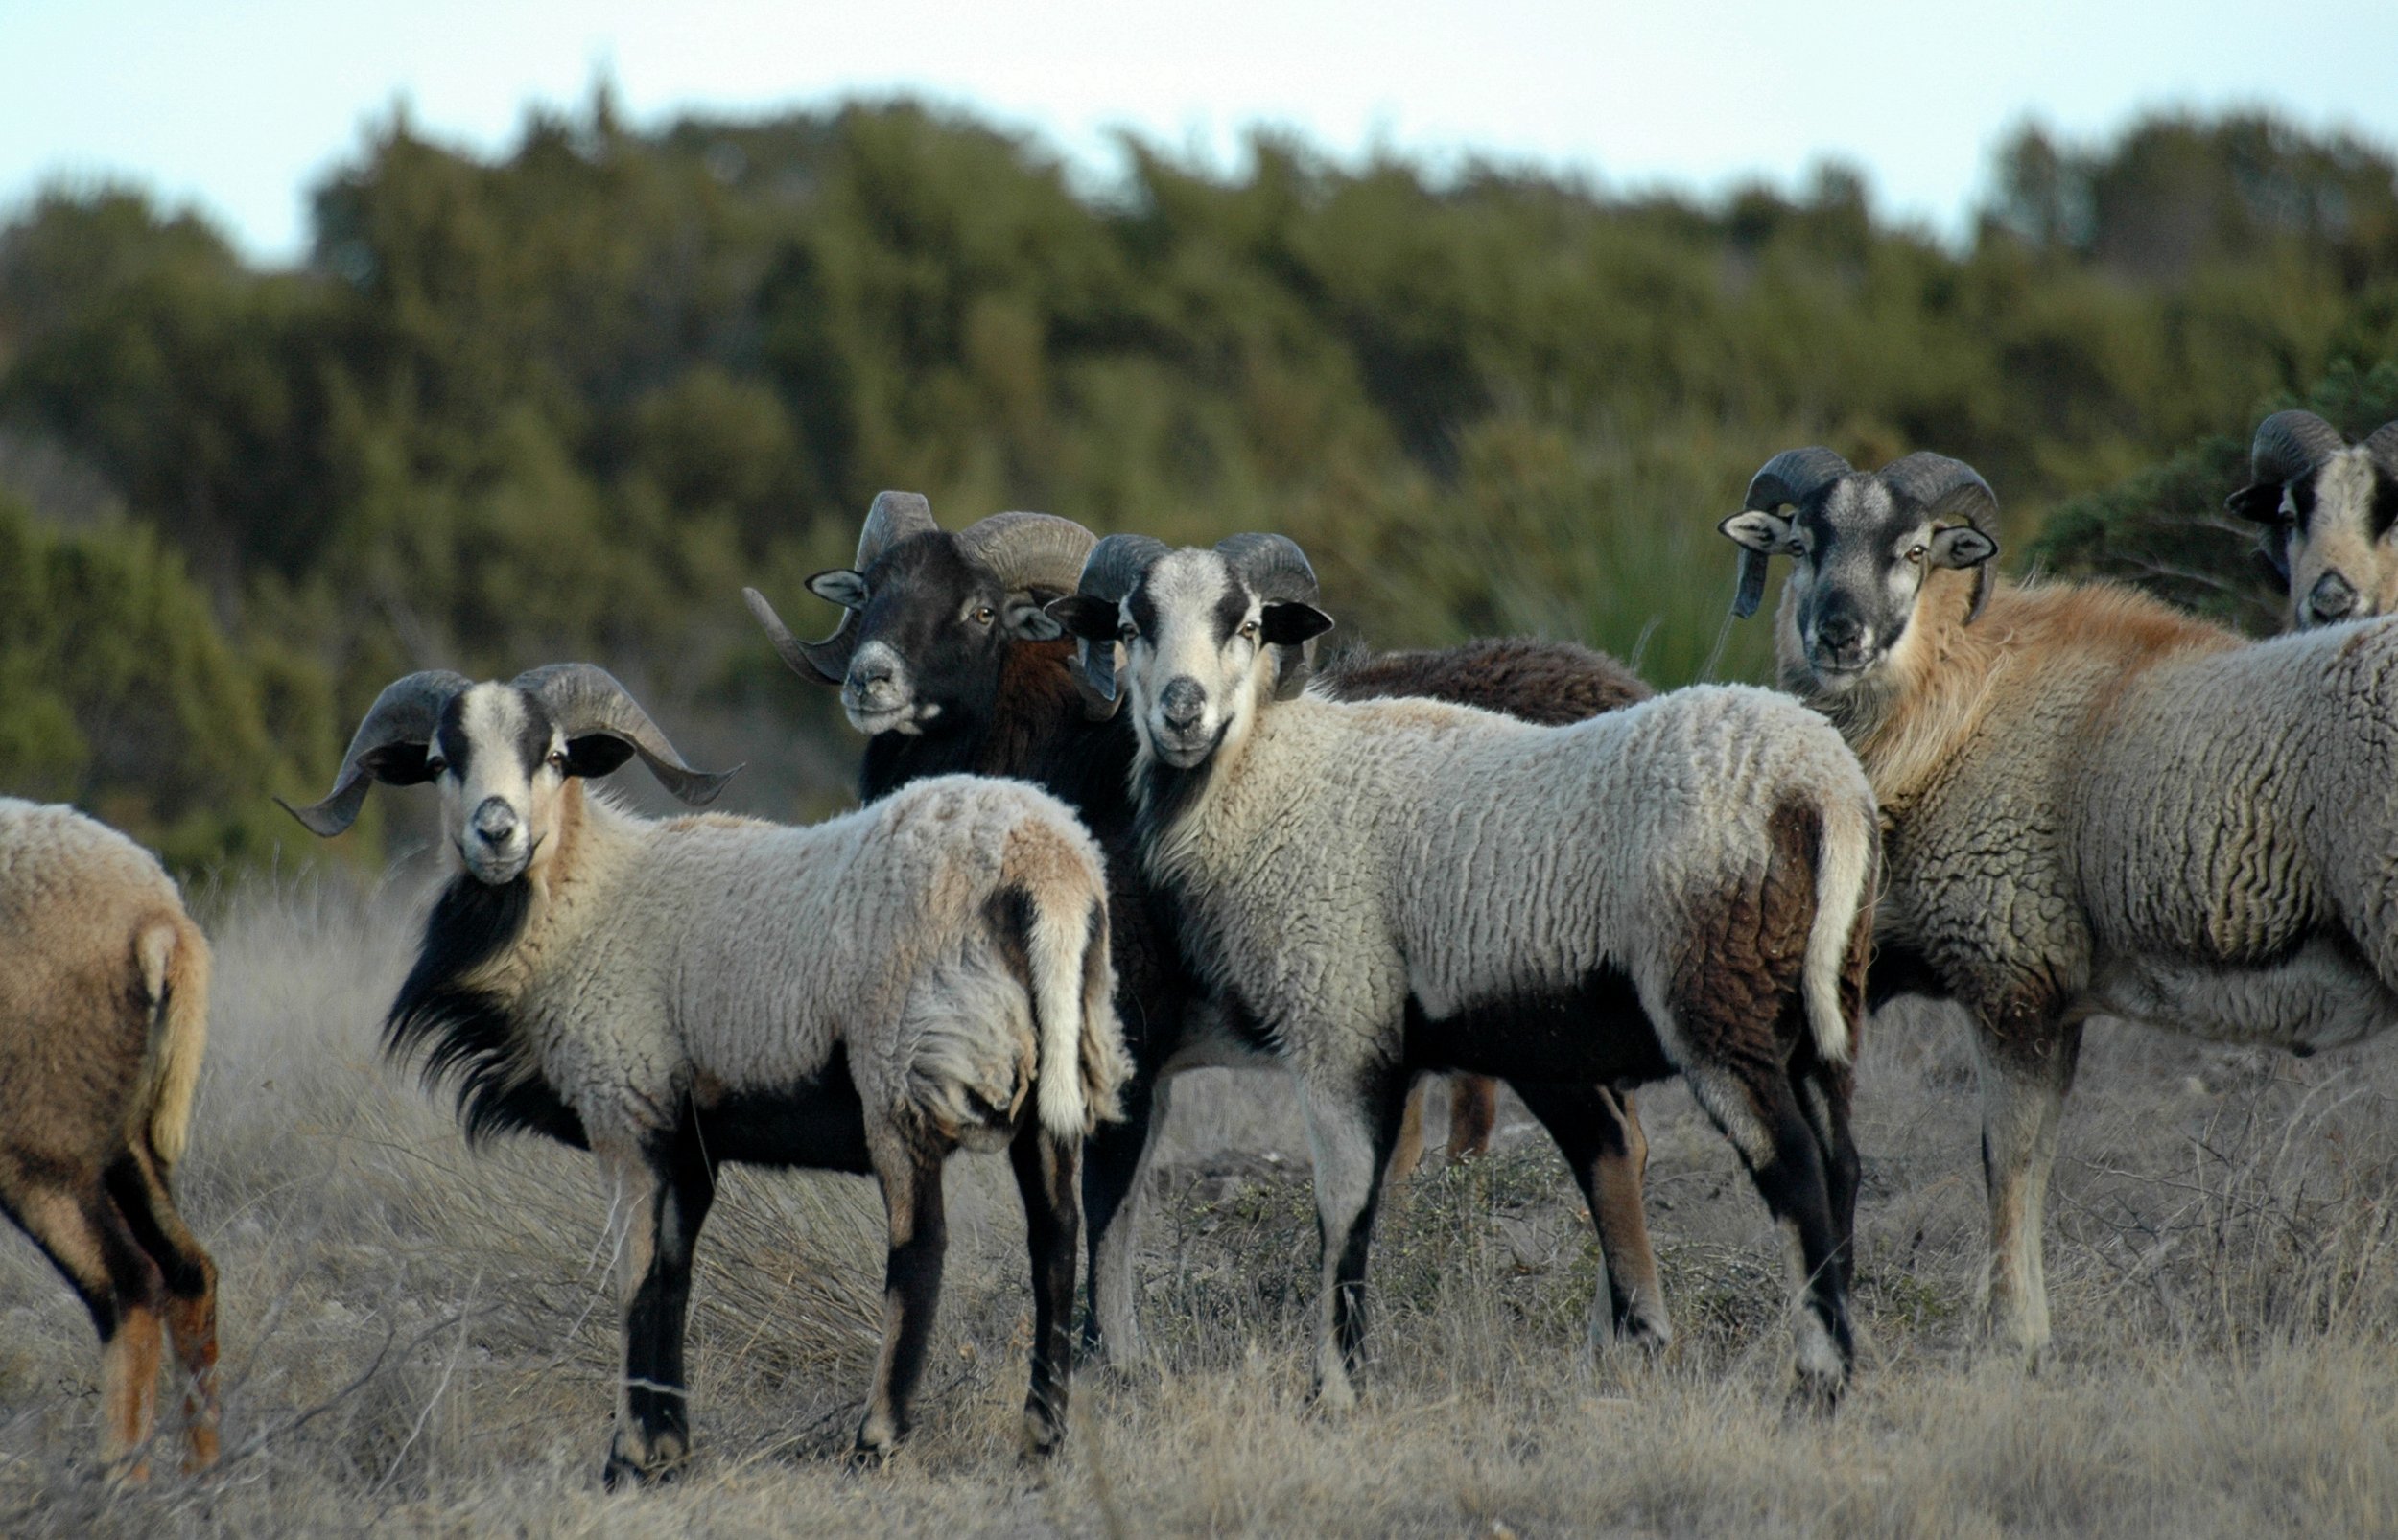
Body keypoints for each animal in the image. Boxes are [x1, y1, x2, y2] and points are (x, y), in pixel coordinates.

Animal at [0, 798, 218, 1477]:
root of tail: (158, 914)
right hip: (122, 1137)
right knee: (189, 1271)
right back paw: (205, 1475)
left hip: (37, 1147)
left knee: (130, 1284)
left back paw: (120, 1478)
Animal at [280, 664, 1128, 1480]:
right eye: (437, 761)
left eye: (554, 756)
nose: (496, 832)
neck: (586, 896)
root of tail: (1048, 868)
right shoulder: (689, 1144)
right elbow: (676, 1274)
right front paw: (671, 1450)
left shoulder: (626, 1114)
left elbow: (635, 1279)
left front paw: (627, 1459)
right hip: (1063, 1070)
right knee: (1056, 1239)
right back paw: (1041, 1441)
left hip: (901, 1078)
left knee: (922, 1251)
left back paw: (875, 1442)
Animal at [743, 497, 1665, 1369]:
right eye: (870, 596)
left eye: (979, 610)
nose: (870, 681)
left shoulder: (1128, 1043)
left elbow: (1104, 1206)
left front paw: (1106, 1364)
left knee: (1608, 1147)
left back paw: (1631, 1341)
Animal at [1047, 534, 1880, 1408]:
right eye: (1132, 625)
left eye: (1245, 626)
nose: (1183, 712)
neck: (1270, 776)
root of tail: (1820, 786)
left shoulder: (1338, 1021)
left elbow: (1344, 1207)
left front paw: (1334, 1383)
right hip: (1822, 1008)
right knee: (1841, 1166)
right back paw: (1830, 1355)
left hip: (1717, 1002)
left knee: (1792, 1168)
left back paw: (1817, 1378)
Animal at [1718, 445, 2398, 1362]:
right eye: (1802, 542)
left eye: (1915, 551)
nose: (1837, 634)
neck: (1960, 702)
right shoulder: (2057, 995)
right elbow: (2036, 1157)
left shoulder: (2011, 977)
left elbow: (2006, 1158)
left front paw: (2014, 1334)